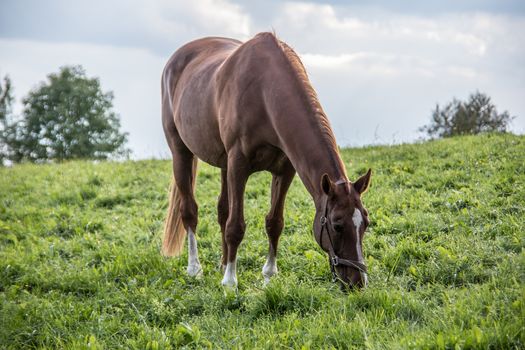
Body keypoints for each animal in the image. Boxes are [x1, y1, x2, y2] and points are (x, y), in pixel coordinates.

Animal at [162, 32, 370, 290]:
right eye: (337, 224)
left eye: (365, 223)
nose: (357, 282)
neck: (264, 93)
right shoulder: (238, 166)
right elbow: (235, 226)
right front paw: (230, 282)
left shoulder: (284, 170)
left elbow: (274, 223)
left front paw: (269, 276)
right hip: (181, 152)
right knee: (190, 211)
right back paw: (195, 269)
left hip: (223, 164)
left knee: (222, 210)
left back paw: (222, 263)